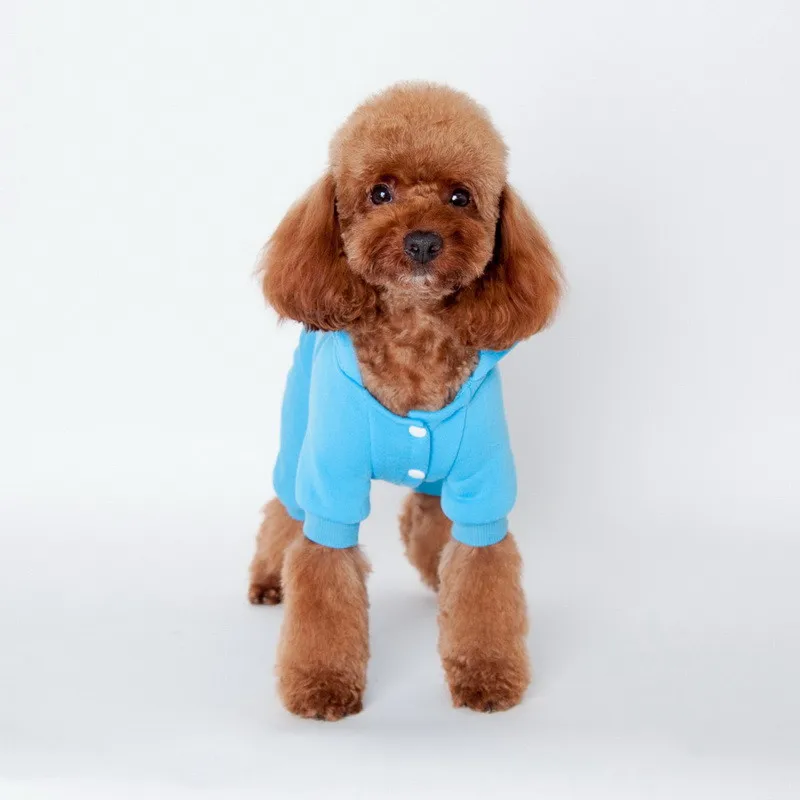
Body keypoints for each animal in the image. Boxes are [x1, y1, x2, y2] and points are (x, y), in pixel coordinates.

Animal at [249, 82, 561, 720]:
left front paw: (486, 675)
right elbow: (321, 576)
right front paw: (321, 684)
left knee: (426, 513)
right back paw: (269, 579)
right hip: (296, 440)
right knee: (282, 510)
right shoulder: (331, 489)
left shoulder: (482, 490)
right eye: (380, 192)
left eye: (460, 196)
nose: (421, 241)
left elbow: (481, 577)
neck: (414, 342)